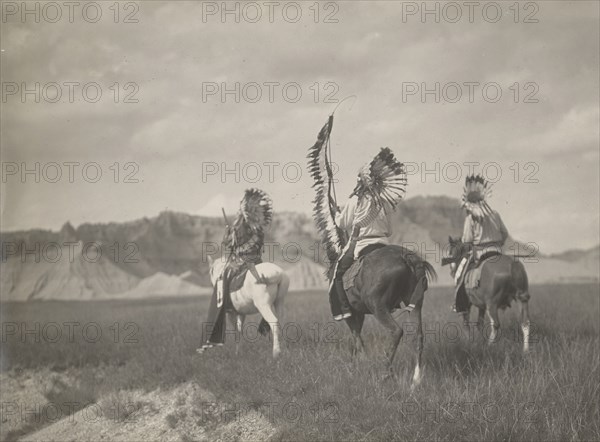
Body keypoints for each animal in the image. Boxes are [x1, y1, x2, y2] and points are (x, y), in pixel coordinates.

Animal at [342, 245, 436, 386]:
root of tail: (406, 257)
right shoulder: (358, 314)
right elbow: (357, 336)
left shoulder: (350, 313)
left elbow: (356, 337)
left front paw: (360, 364)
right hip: (414, 303)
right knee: (418, 336)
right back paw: (416, 380)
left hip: (377, 307)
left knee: (396, 331)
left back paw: (386, 374)